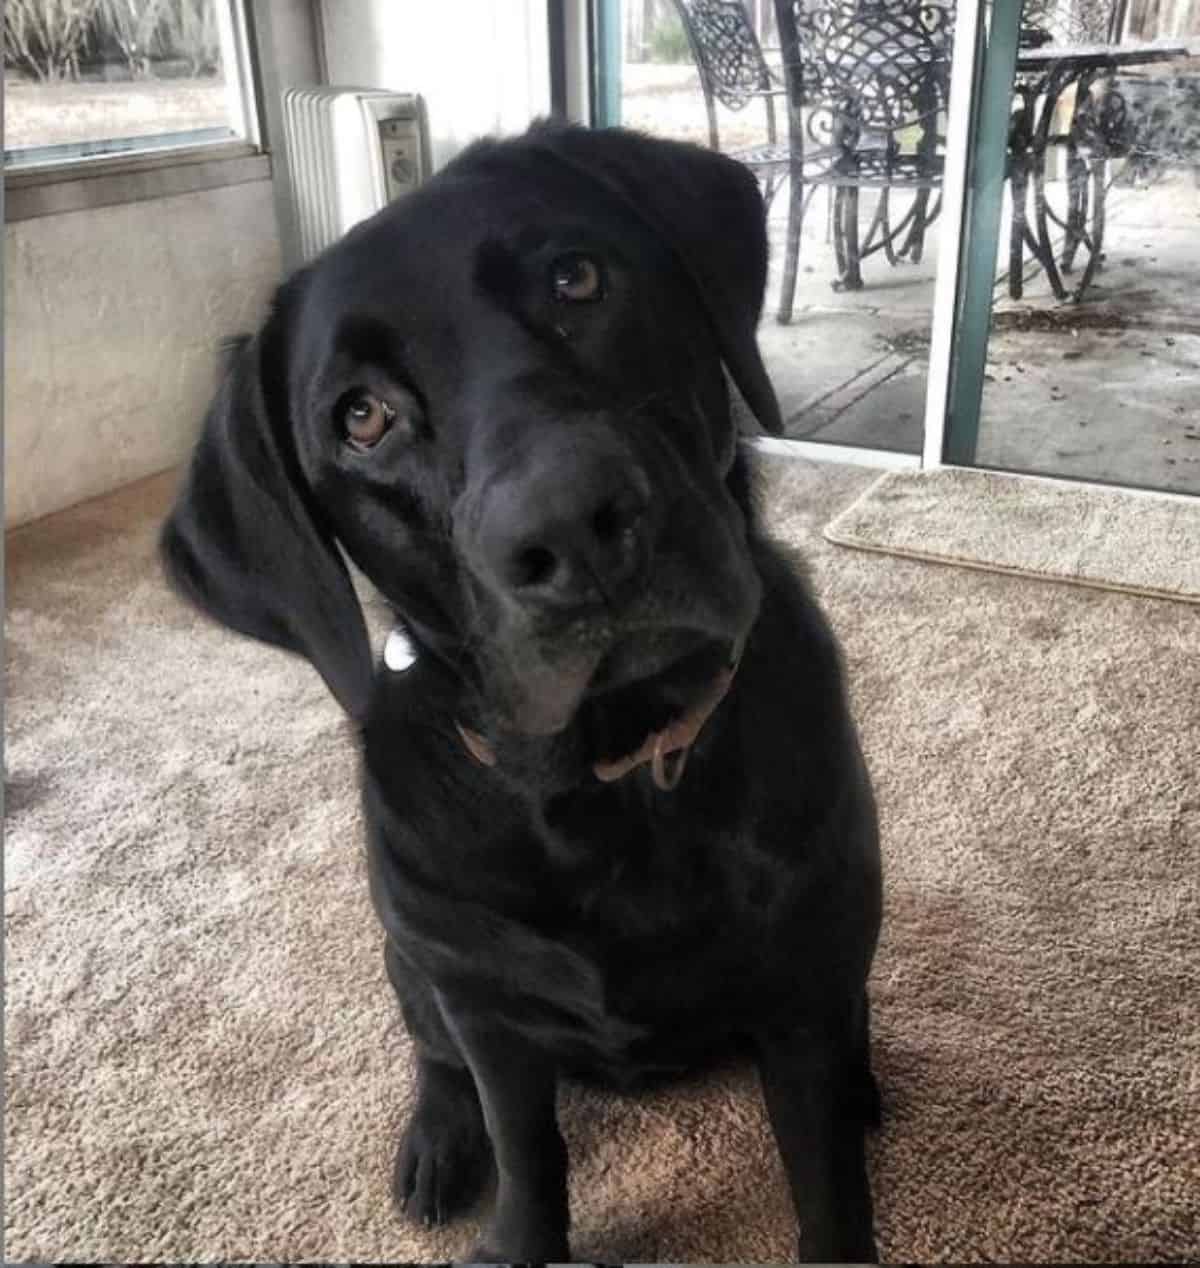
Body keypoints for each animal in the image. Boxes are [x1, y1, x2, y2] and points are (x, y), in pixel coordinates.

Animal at [161, 121, 877, 1268]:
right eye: (361, 417)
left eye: (575, 278)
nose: (572, 526)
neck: (602, 784)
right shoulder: (489, 1007)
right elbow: (525, 1147)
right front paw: (513, 1227)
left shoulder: (800, 988)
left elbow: (825, 1183)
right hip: (409, 957)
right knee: (434, 1059)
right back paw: (435, 1144)